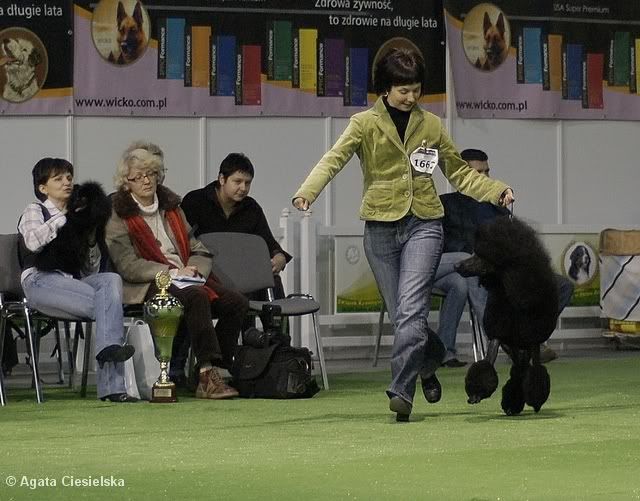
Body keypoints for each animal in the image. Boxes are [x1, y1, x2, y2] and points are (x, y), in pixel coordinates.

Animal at [456, 216, 559, 415]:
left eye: (480, 257)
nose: (456, 265)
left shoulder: (533, 341)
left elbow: (535, 371)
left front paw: (536, 401)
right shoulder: (498, 336)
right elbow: (487, 363)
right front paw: (476, 394)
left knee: (523, 368)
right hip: (511, 344)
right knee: (519, 368)